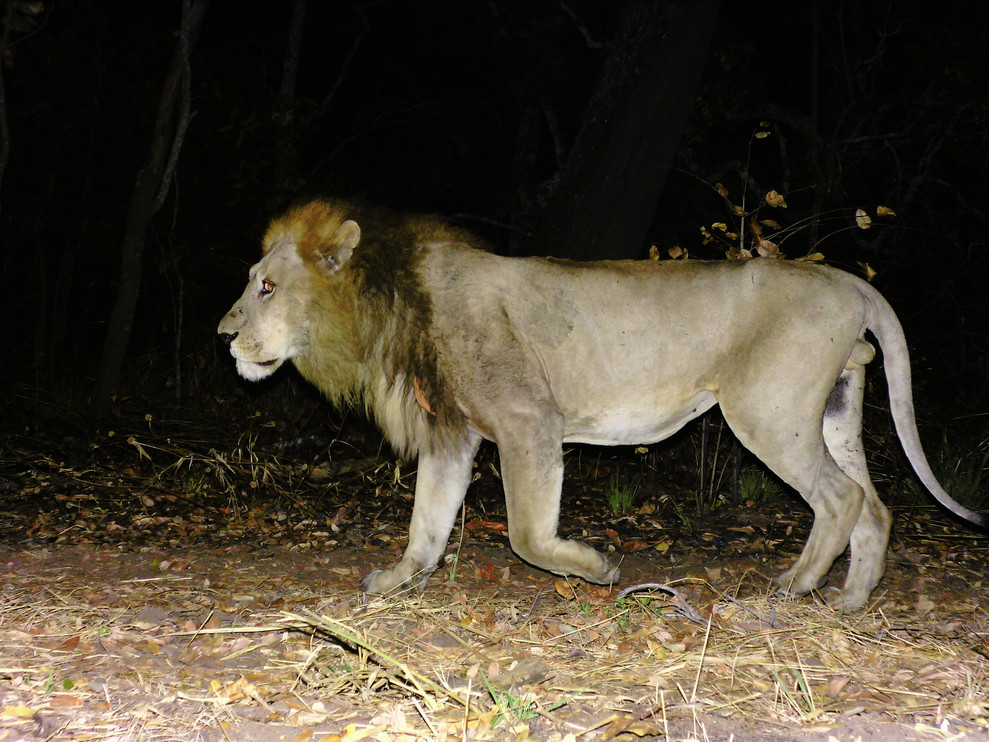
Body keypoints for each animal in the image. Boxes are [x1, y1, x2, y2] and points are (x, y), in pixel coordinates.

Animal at [218, 197, 986, 610]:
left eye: (266, 286)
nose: (223, 335)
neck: (390, 302)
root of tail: (847, 282)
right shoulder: (453, 435)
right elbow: (426, 526)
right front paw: (397, 581)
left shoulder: (528, 421)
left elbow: (527, 536)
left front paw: (598, 569)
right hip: (833, 412)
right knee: (875, 506)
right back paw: (850, 600)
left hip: (767, 413)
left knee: (839, 499)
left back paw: (793, 587)